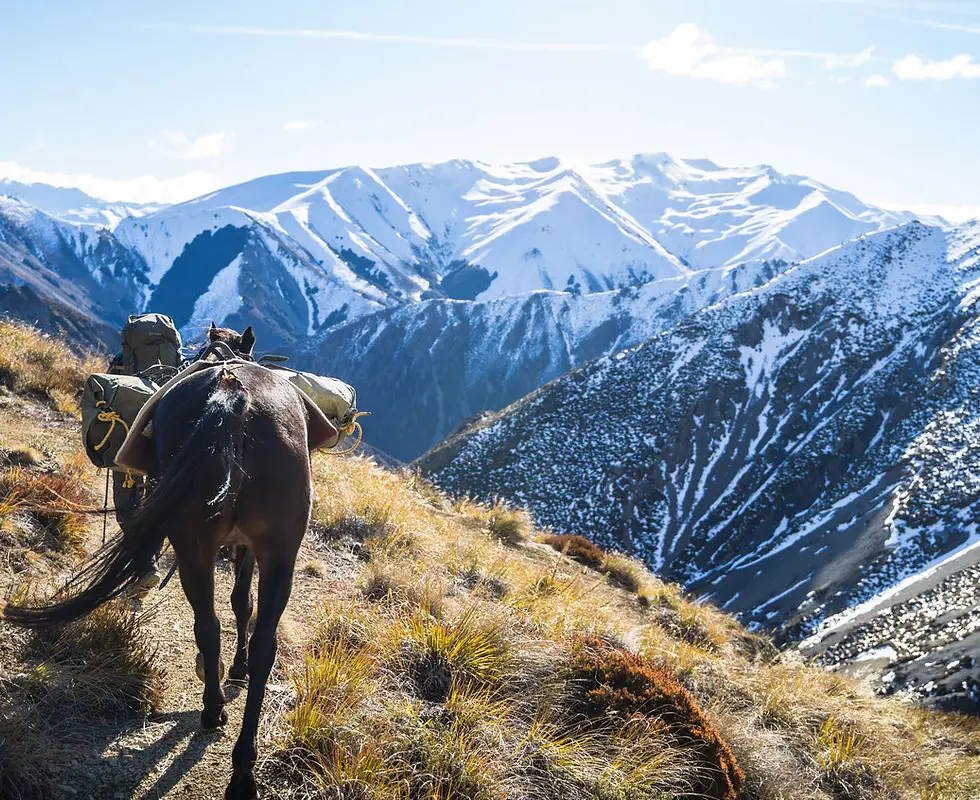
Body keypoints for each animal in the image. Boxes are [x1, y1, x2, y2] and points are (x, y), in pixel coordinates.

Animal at [5, 323, 337, 800]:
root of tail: (233, 391)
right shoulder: (247, 548)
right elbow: (241, 604)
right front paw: (233, 671)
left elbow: (239, 605)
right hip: (264, 551)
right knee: (241, 637)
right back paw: (230, 742)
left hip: (220, 545)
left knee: (220, 628)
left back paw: (229, 738)